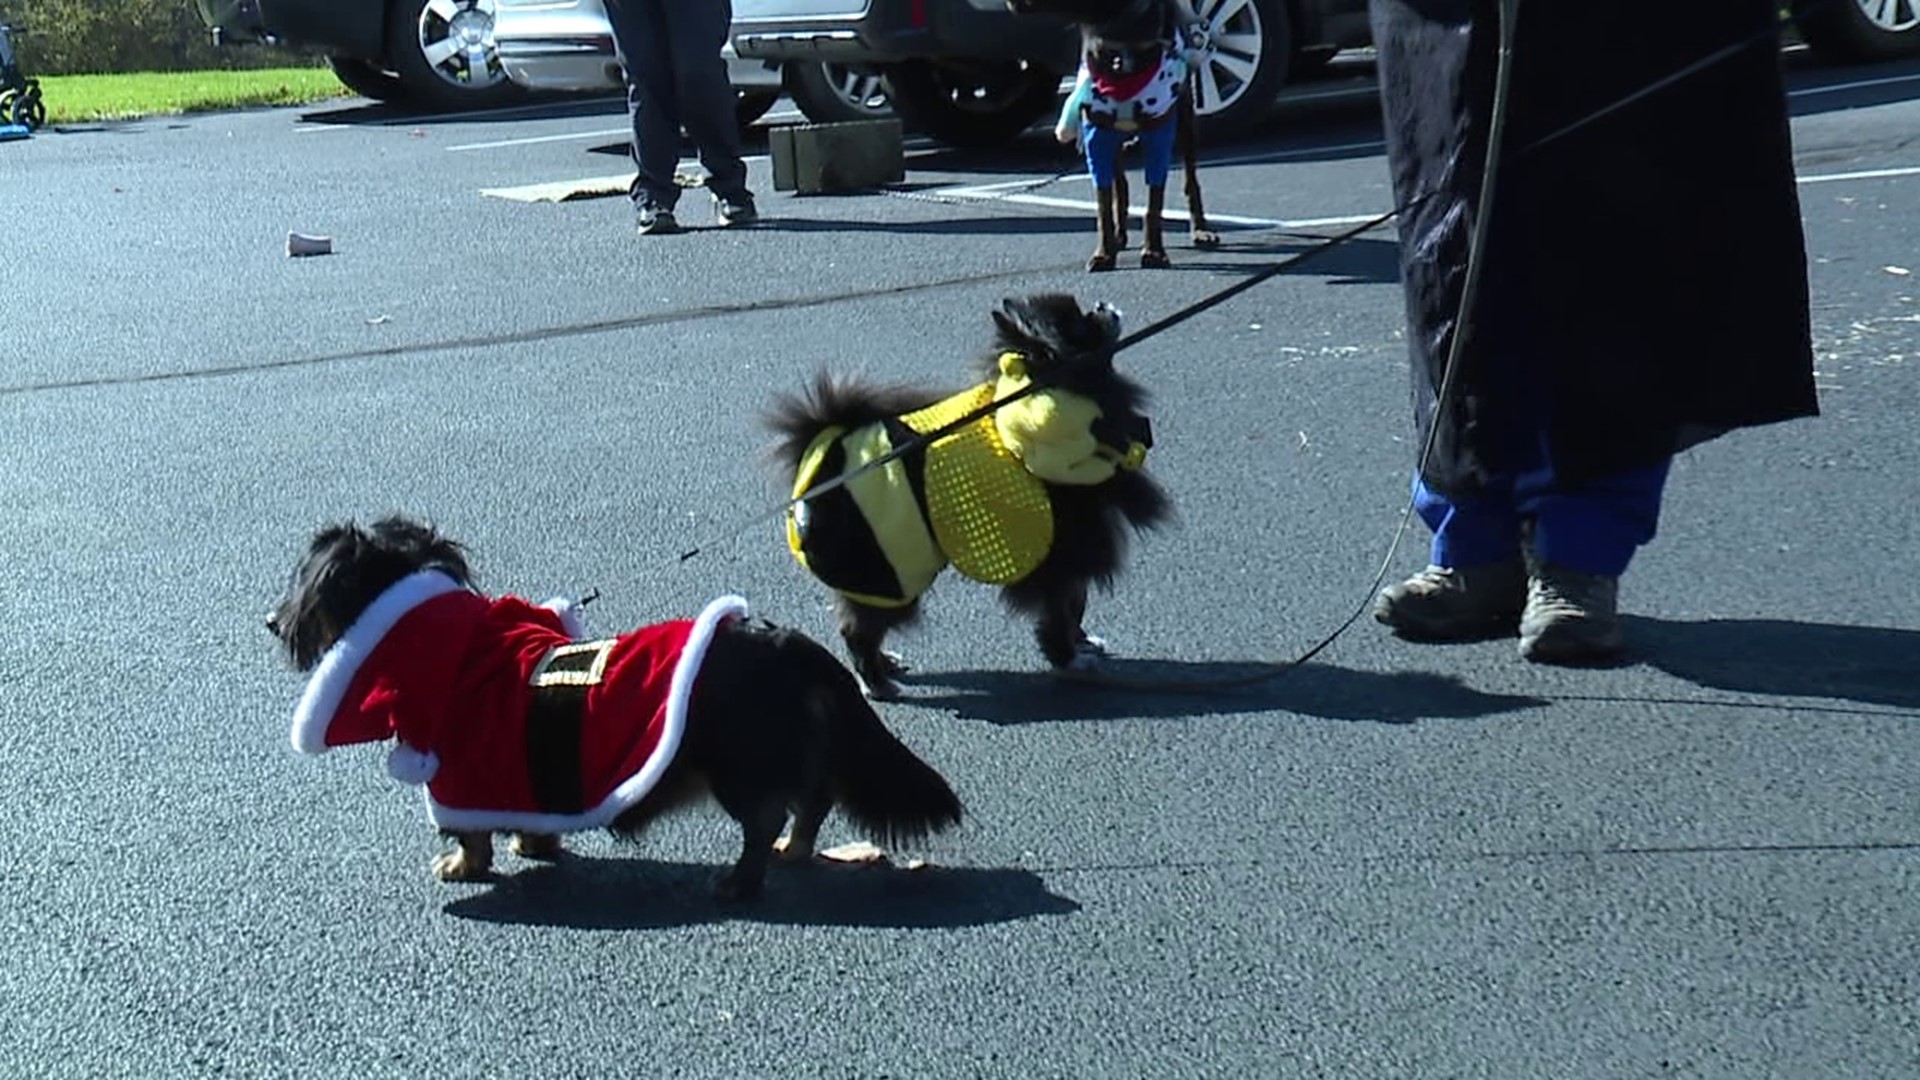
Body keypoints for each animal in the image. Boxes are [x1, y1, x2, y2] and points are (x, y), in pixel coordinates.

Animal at [270, 518, 960, 895]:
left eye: (305, 583)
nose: (270, 624)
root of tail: (785, 641)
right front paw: (532, 847)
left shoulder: (463, 774)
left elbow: (471, 834)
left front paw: (462, 866)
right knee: (811, 802)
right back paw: (793, 852)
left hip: (737, 763)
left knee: (764, 820)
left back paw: (740, 881)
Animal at [764, 292, 1167, 699]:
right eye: (1079, 325)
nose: (1102, 305)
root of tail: (822, 455)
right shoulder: (1064, 548)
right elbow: (1060, 609)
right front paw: (1067, 657)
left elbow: (1076, 603)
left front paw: (1081, 643)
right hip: (890, 570)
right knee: (858, 628)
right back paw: (875, 680)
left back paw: (884, 665)